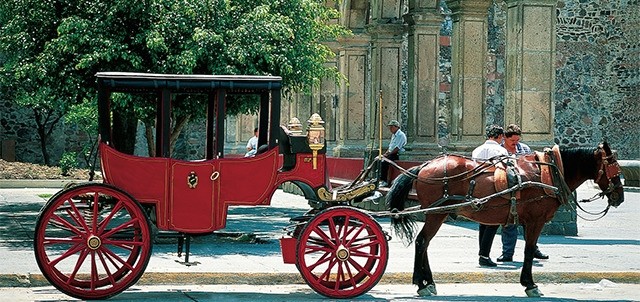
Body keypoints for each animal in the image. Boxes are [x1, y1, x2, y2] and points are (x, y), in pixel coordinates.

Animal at [384, 142, 624, 298]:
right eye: (615, 167)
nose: (620, 196)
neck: (549, 173)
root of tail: (423, 166)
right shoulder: (535, 221)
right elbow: (529, 250)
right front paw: (530, 284)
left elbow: (529, 249)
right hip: (436, 213)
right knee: (422, 242)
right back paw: (421, 283)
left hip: (438, 213)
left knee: (425, 243)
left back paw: (428, 281)